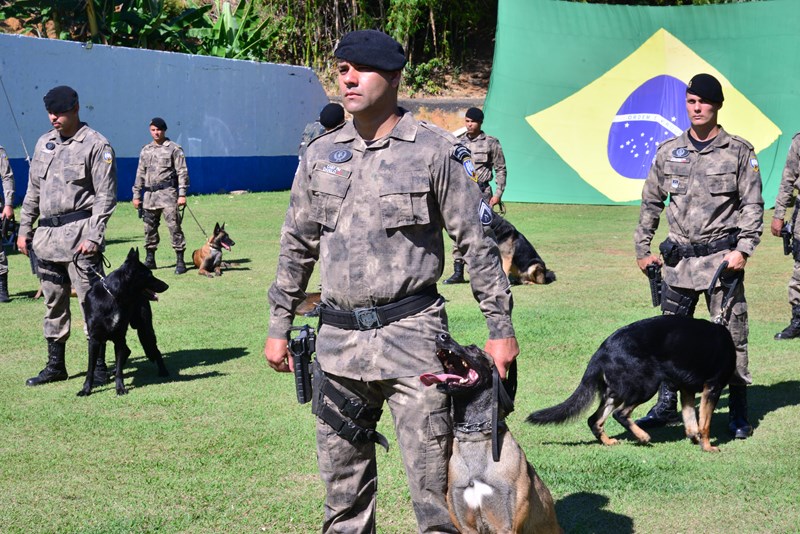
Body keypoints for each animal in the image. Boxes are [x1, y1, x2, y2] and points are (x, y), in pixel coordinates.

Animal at [77, 248, 169, 398]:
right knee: (128, 350)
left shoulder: (119, 338)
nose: (167, 285)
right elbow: (90, 370)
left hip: (145, 331)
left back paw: (163, 371)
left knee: (156, 351)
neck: (114, 297)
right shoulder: (95, 340)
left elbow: (120, 370)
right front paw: (86, 389)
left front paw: (120, 388)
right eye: (149, 275)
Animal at [528, 316, 736, 454]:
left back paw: (608, 442)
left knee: (594, 420)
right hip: (646, 386)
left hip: (615, 393)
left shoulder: (687, 390)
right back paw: (642, 436)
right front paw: (707, 446)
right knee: (620, 414)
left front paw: (695, 439)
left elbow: (691, 420)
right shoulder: (713, 388)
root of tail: (602, 350)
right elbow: (705, 424)